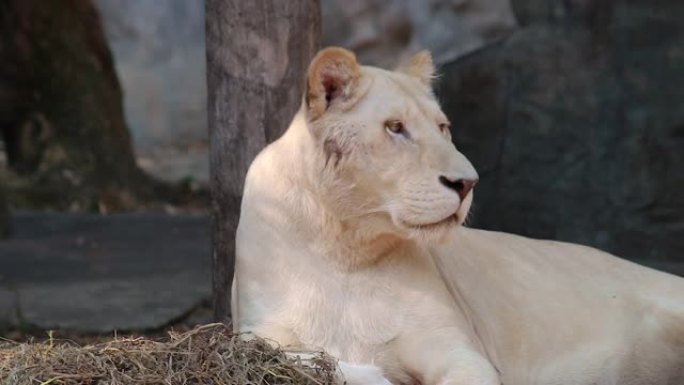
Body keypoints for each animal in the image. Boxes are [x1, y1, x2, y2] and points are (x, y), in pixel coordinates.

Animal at [231, 46, 684, 382]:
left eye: (443, 127)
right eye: (395, 127)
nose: (467, 182)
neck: (346, 250)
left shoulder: (453, 348)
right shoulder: (256, 333)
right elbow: (304, 356)